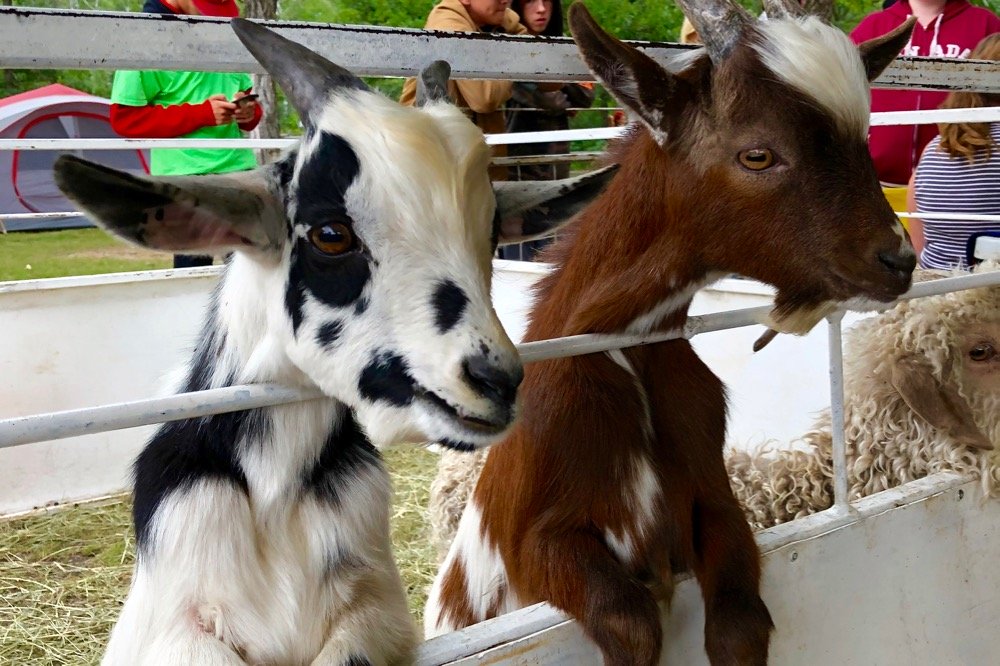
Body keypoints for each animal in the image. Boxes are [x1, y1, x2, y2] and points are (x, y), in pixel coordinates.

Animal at [53, 19, 607, 666]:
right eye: (330, 234)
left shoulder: (378, 609)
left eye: (492, 232)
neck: (275, 495)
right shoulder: (171, 627)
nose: (494, 381)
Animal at [426, 2, 917, 665]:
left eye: (861, 141)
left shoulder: (713, 495)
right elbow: (627, 617)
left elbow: (740, 620)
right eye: (758, 155)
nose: (899, 260)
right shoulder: (532, 537)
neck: (626, 357)